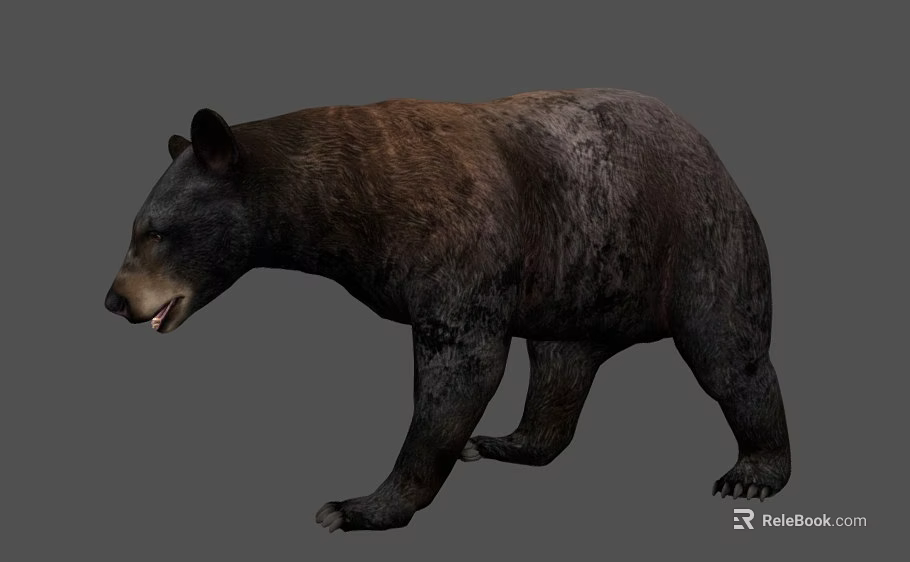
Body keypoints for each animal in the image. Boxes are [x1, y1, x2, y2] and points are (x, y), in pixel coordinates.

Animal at [104, 88, 791, 533]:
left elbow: (459, 367)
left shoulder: (460, 246)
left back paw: (753, 472)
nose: (115, 299)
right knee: (561, 364)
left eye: (156, 231)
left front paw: (359, 507)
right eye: (136, 228)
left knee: (727, 352)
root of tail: (711, 148)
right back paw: (508, 442)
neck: (346, 199)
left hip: (697, 238)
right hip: (577, 274)